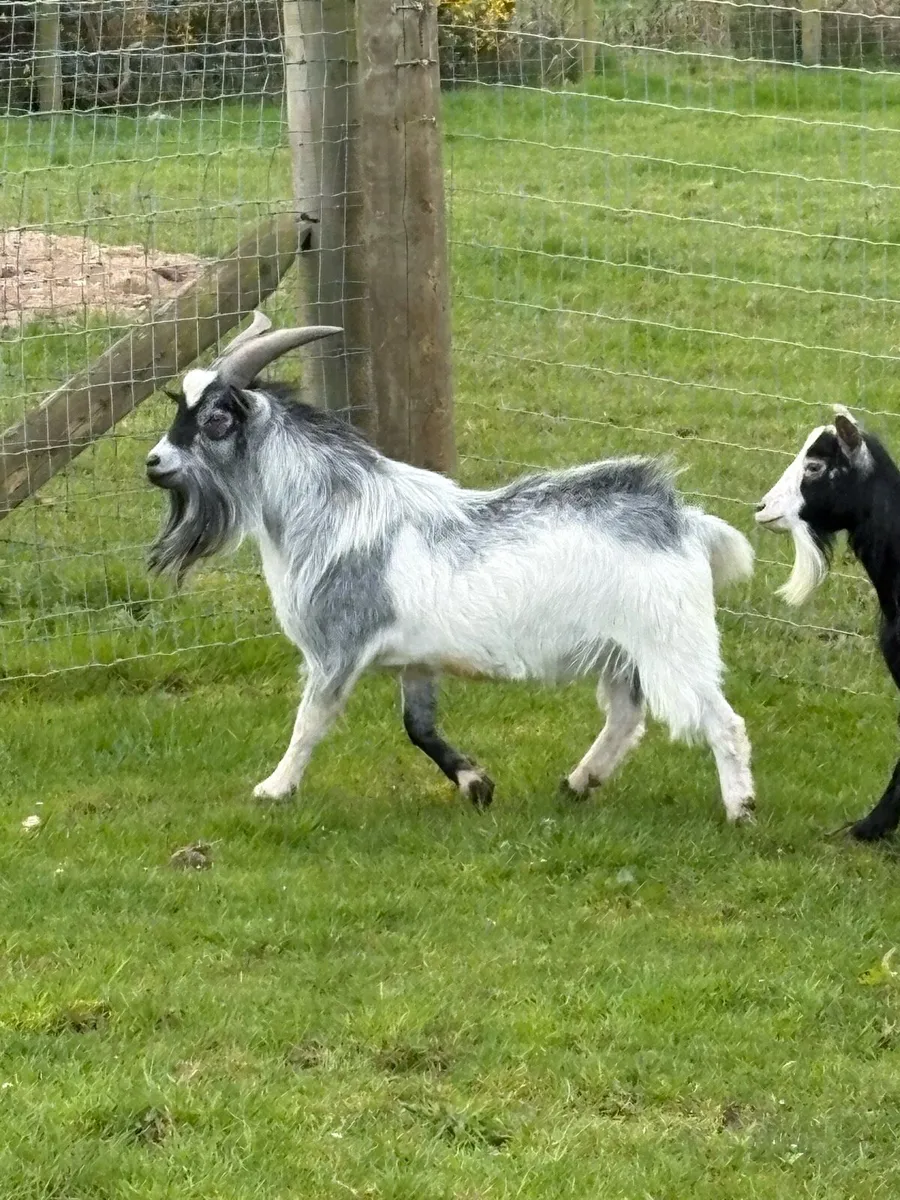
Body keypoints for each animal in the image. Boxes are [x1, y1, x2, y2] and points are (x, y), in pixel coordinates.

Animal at [145, 313, 756, 821]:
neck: (332, 510)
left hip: (673, 644)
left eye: (217, 419)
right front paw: (475, 783)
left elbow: (309, 722)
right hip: (624, 651)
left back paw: (740, 810)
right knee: (626, 717)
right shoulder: (417, 659)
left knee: (722, 722)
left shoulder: (336, 648)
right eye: (179, 407)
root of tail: (681, 520)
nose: (152, 462)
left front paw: (274, 788)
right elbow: (418, 726)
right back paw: (578, 782)